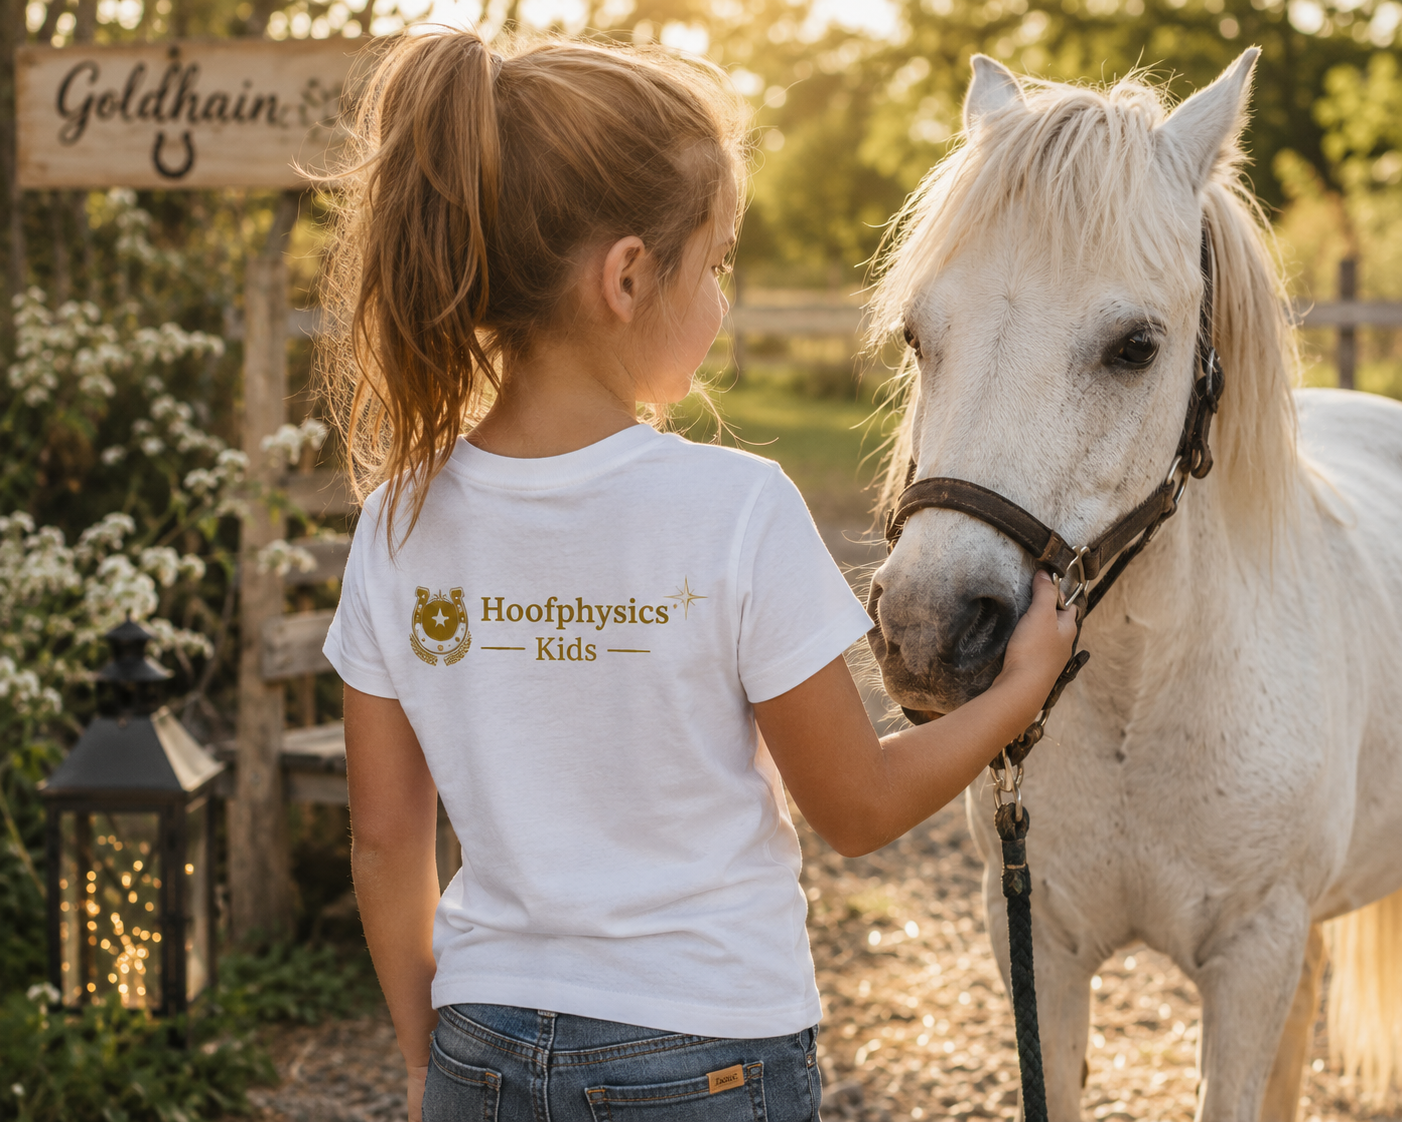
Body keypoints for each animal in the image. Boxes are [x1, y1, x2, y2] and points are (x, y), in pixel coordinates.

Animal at [864, 49, 1402, 1122]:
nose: (926, 629)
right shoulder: (1039, 946)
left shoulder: (1251, 958)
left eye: (1136, 348)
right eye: (916, 335)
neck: (1140, 704)